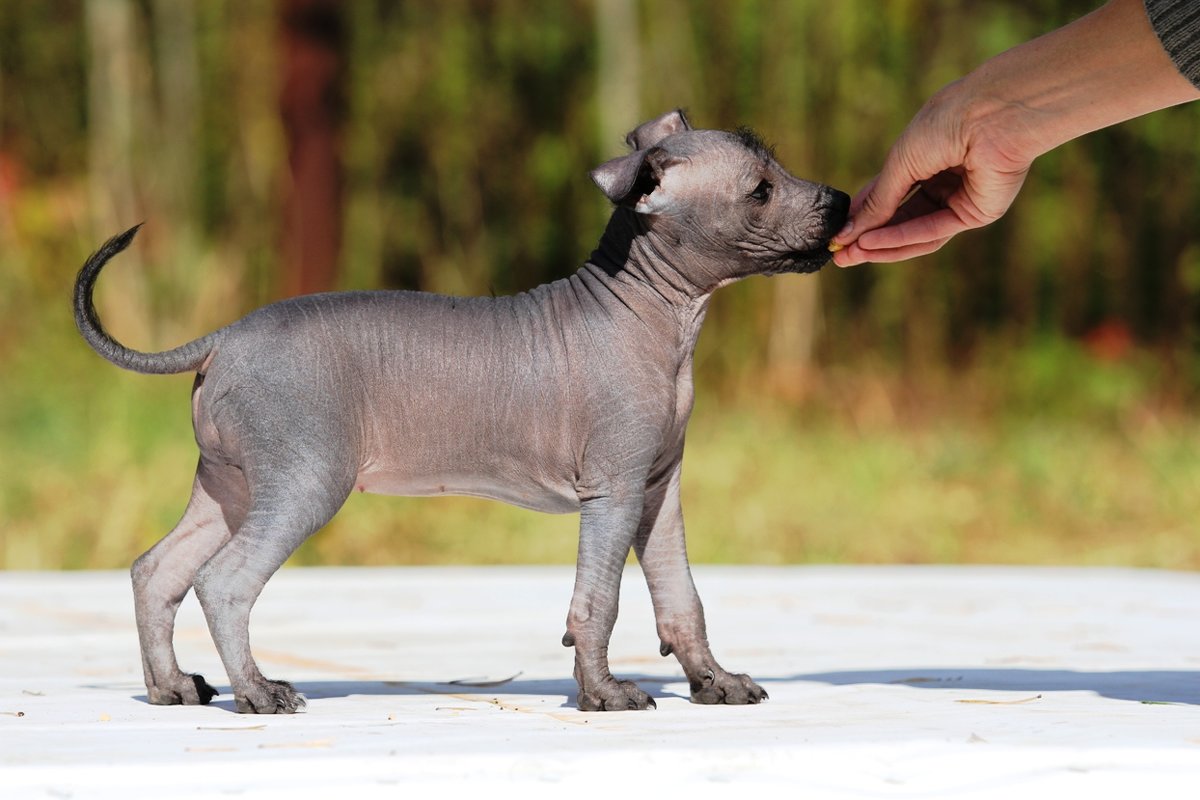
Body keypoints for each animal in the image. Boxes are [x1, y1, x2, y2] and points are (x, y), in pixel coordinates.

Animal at [75, 110, 849, 714]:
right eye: (760, 189)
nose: (842, 199)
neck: (648, 311)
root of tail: (223, 336)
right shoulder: (614, 492)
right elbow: (597, 601)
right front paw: (603, 693)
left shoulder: (658, 491)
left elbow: (682, 596)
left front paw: (713, 681)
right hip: (304, 480)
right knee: (224, 582)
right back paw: (259, 692)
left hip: (231, 484)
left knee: (156, 570)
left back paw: (173, 687)